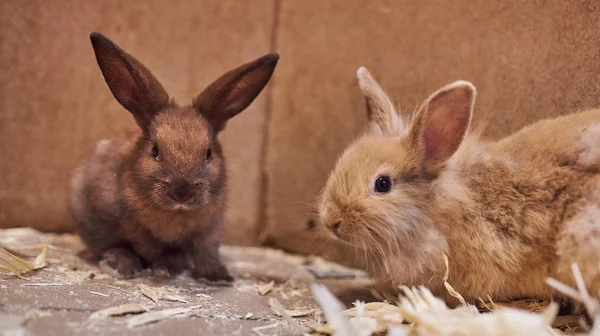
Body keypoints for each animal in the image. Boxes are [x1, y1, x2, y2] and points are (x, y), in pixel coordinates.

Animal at [71, 33, 278, 280]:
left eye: (208, 153)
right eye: (155, 151)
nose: (182, 192)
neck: (174, 214)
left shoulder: (210, 229)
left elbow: (203, 252)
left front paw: (217, 275)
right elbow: (123, 243)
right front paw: (128, 264)